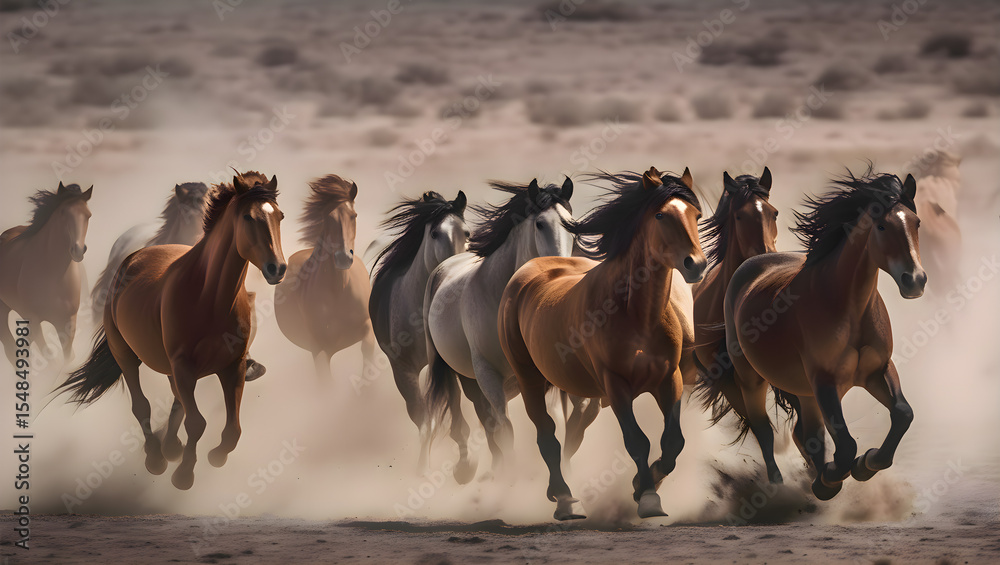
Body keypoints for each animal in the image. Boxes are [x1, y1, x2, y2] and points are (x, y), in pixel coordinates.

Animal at [0, 182, 93, 365]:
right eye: (63, 212)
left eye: (88, 215)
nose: (78, 250)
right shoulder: (34, 320)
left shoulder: (68, 322)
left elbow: (67, 358)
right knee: (11, 349)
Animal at [274, 175, 376, 383]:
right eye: (328, 218)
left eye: (353, 216)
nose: (343, 257)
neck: (339, 289)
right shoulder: (320, 349)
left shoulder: (368, 329)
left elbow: (368, 353)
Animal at [369, 190, 469, 470]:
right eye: (434, 233)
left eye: (467, 233)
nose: (454, 269)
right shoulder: (403, 369)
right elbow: (423, 418)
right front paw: (422, 468)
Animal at [425, 178, 575, 484]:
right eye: (540, 224)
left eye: (573, 224)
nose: (560, 270)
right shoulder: (488, 374)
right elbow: (505, 430)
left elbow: (554, 423)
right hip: (453, 369)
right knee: (468, 412)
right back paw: (470, 468)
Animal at [498, 167, 706, 520]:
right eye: (661, 215)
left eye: (696, 214)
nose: (696, 264)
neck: (636, 315)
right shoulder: (615, 384)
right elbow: (637, 441)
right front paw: (648, 497)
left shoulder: (670, 379)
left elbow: (673, 441)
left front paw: (640, 485)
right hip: (529, 379)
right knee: (547, 436)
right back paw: (564, 499)